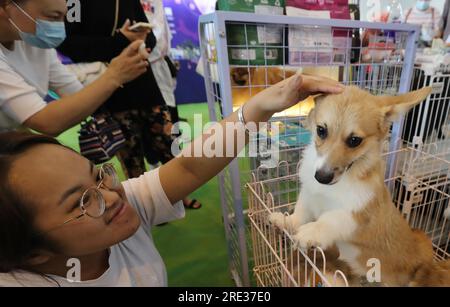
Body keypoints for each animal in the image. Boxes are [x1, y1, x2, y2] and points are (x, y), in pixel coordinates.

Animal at [270, 86, 450, 286]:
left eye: (354, 140)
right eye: (321, 130)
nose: (322, 177)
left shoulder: (360, 215)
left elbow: (331, 218)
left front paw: (312, 231)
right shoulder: (309, 196)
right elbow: (299, 214)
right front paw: (284, 220)